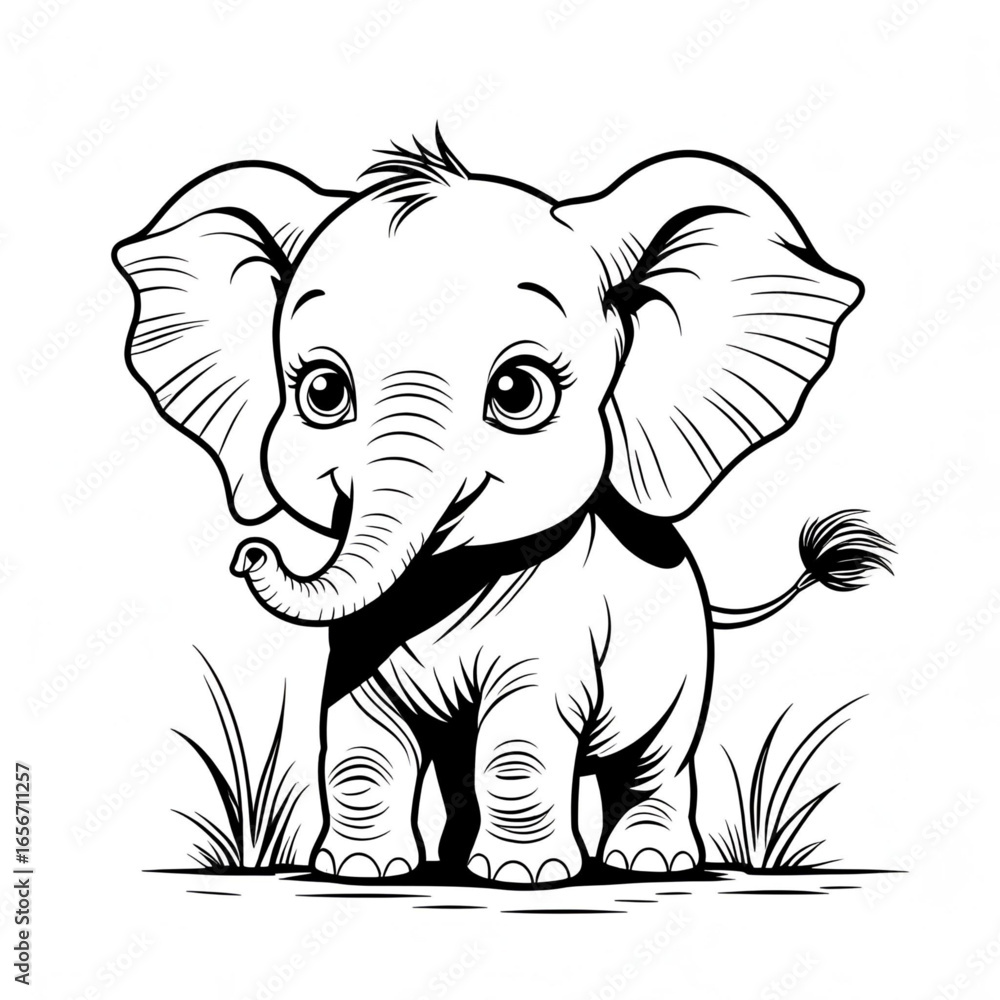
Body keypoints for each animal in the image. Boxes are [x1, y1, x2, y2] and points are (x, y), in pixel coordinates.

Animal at [114, 130, 891, 884]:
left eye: (518, 391)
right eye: (323, 392)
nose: (250, 552)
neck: (446, 573)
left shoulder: (562, 626)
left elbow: (520, 740)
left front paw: (528, 878)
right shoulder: (363, 637)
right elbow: (359, 734)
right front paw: (359, 872)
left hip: (683, 668)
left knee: (651, 762)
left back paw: (648, 863)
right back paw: (453, 862)